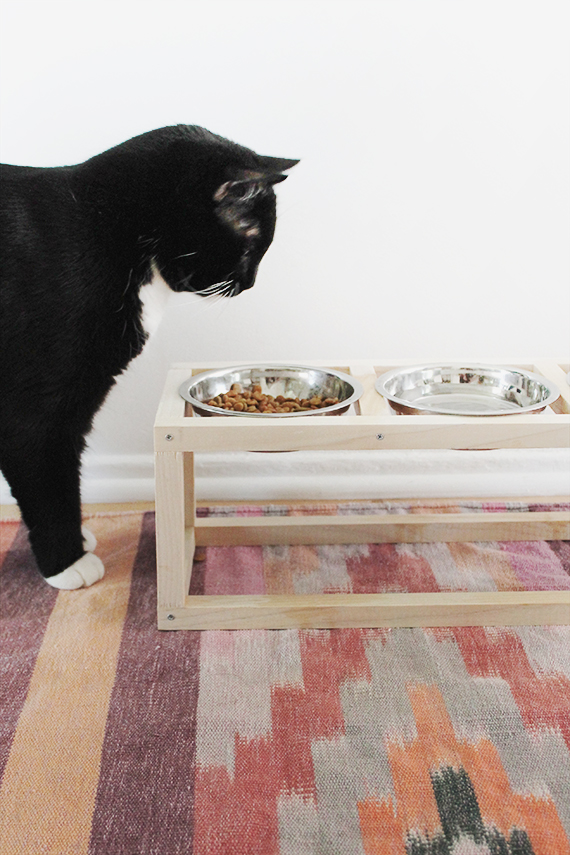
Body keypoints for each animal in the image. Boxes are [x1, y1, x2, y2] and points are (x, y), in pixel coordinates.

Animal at [2, 123, 298, 588]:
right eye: (252, 248)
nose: (249, 283)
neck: (103, 227)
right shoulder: (37, 409)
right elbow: (49, 479)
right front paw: (66, 561)